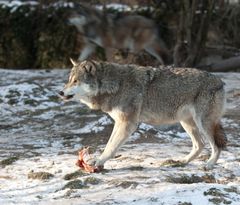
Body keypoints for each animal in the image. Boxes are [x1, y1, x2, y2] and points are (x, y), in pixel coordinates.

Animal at [59, 59, 227, 170]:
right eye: (69, 81)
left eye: (75, 81)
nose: (60, 92)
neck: (116, 85)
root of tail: (220, 81)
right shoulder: (119, 122)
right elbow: (110, 143)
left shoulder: (128, 124)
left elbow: (111, 147)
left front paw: (99, 162)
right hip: (186, 123)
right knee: (200, 145)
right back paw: (182, 161)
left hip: (202, 123)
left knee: (216, 146)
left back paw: (209, 164)